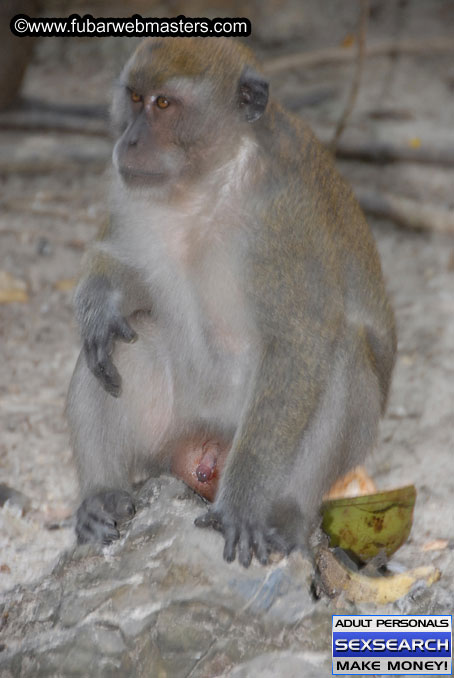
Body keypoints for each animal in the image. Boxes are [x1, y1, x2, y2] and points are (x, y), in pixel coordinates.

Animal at [65, 35, 396, 568]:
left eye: (164, 105)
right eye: (135, 99)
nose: (129, 141)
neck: (208, 184)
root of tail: (207, 445)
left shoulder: (281, 221)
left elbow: (299, 344)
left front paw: (242, 507)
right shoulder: (129, 191)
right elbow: (118, 265)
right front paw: (98, 303)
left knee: (341, 350)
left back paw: (288, 513)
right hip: (171, 433)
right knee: (126, 340)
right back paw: (102, 493)